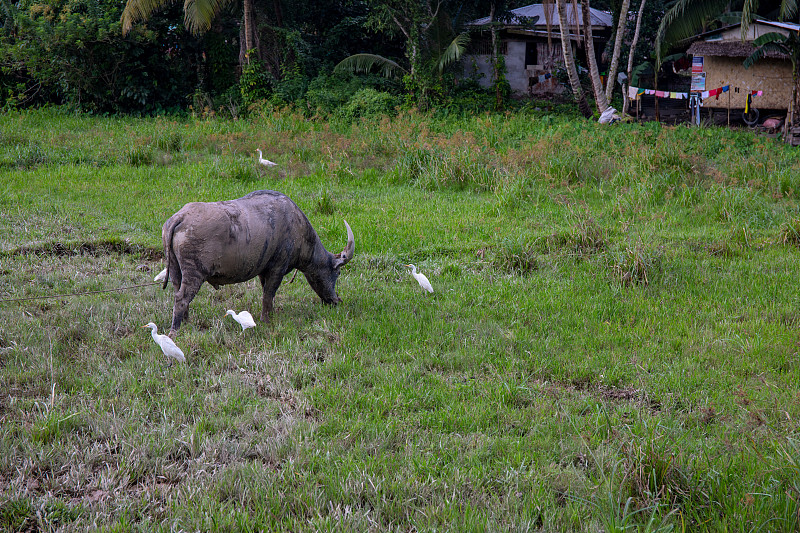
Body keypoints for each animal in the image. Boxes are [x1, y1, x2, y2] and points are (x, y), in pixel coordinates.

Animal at [159, 189, 354, 334]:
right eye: (337, 272)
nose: (336, 300)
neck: (295, 225)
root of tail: (180, 217)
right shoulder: (277, 269)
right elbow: (268, 294)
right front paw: (266, 320)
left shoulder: (263, 271)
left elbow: (267, 293)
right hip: (194, 272)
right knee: (182, 297)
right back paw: (176, 330)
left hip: (176, 269)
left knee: (177, 290)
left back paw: (186, 322)